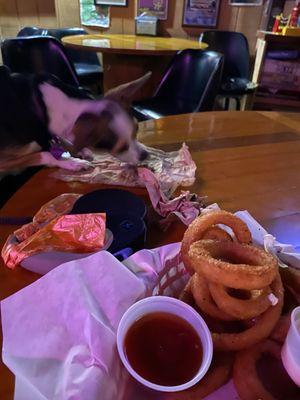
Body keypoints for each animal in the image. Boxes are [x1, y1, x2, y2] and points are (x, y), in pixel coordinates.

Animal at [0, 66, 150, 174]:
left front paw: (79, 151)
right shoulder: (4, 161)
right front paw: (71, 162)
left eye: (136, 131)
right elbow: (46, 155)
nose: (145, 155)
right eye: (121, 147)